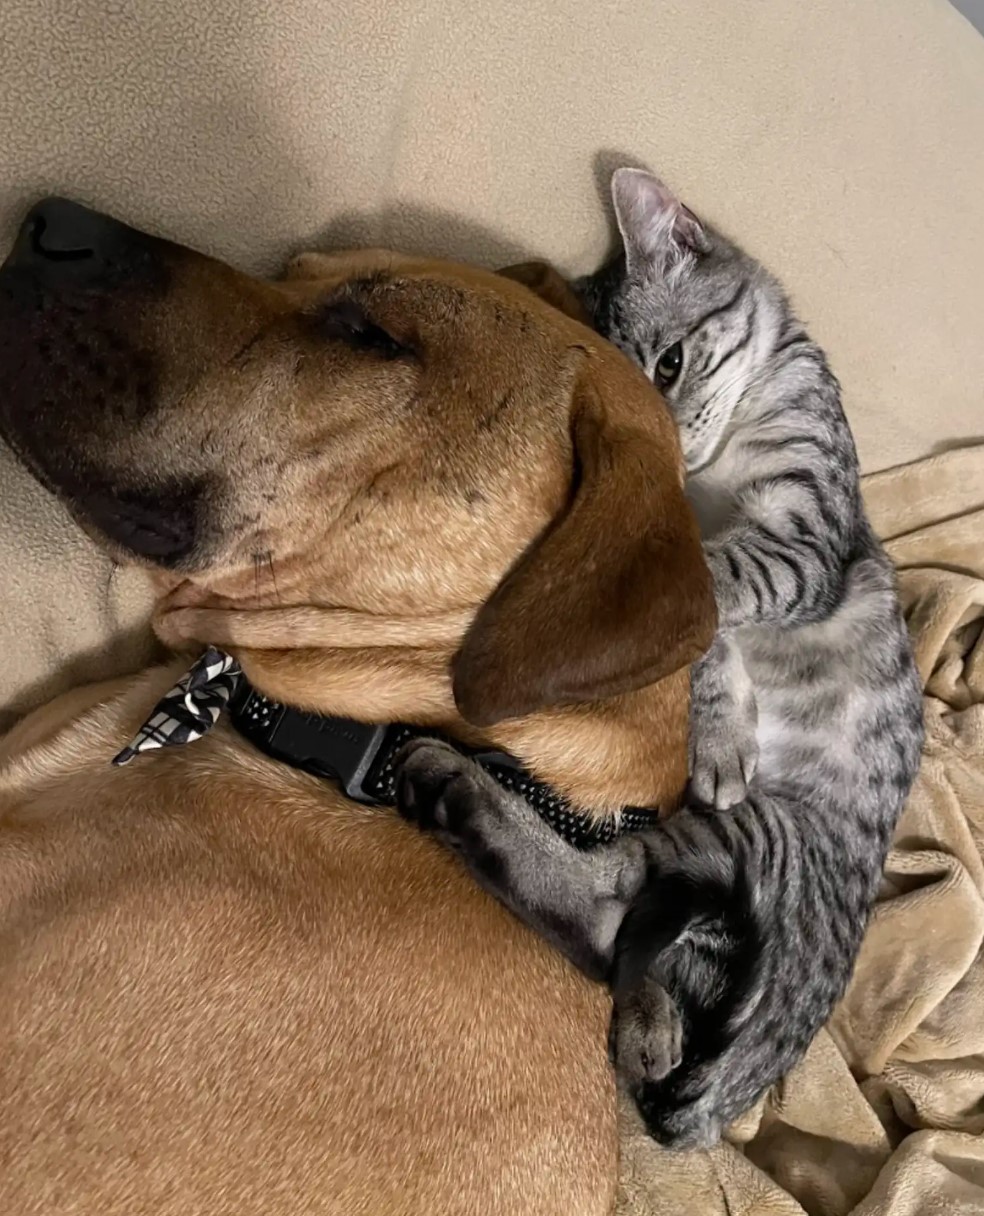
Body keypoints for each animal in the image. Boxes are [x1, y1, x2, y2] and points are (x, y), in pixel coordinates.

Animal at [394, 171, 919, 1147]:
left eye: (670, 363)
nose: (669, 444)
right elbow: (700, 633)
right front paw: (715, 725)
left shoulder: (805, 541)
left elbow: (702, 587)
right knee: (618, 943)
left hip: (757, 838)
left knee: (607, 919)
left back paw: (455, 790)